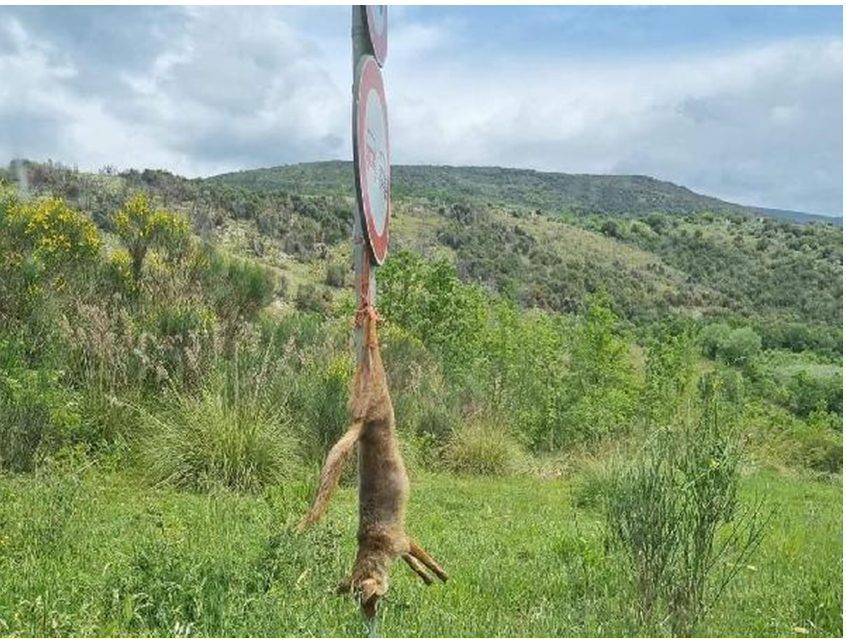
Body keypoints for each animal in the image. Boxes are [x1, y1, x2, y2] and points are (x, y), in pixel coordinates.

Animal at [297, 309, 447, 618]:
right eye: (365, 604)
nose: (371, 617)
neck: (375, 544)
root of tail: (362, 424)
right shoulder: (403, 541)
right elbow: (417, 561)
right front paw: (432, 576)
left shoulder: (404, 540)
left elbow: (423, 560)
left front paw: (438, 575)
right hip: (374, 395)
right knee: (371, 353)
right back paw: (368, 320)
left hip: (371, 392)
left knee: (371, 351)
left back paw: (368, 318)